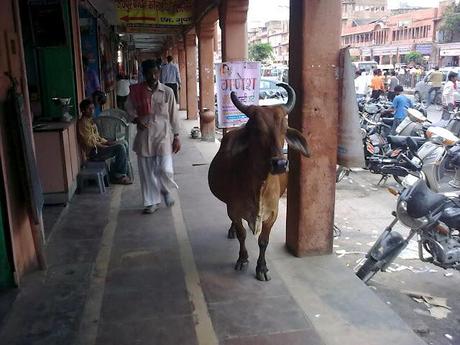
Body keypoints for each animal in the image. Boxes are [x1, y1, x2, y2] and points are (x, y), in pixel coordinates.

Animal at [208, 83, 310, 280]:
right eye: (256, 130)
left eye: (284, 129)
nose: (280, 164)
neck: (259, 186)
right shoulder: (233, 209)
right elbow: (241, 235)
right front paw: (242, 259)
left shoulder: (273, 213)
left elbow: (263, 241)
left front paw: (261, 267)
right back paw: (232, 231)